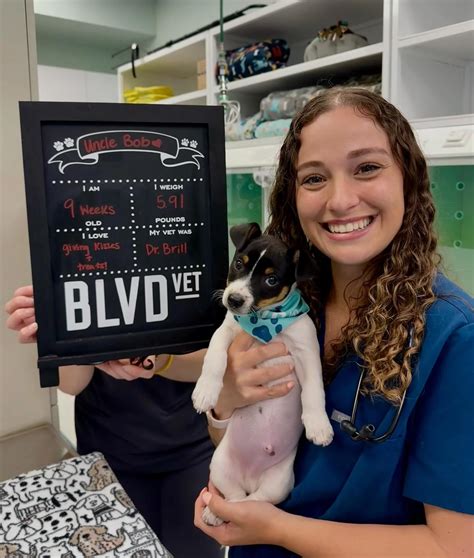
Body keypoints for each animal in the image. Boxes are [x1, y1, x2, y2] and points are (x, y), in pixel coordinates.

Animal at [192, 222, 333, 525]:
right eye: (238, 263)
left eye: (271, 280)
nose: (233, 300)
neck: (265, 323)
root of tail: (249, 478)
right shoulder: (226, 333)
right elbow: (214, 356)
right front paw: (205, 391)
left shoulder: (307, 352)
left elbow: (314, 391)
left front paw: (318, 425)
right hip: (219, 465)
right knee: (234, 498)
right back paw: (214, 511)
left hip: (279, 483)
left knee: (252, 504)